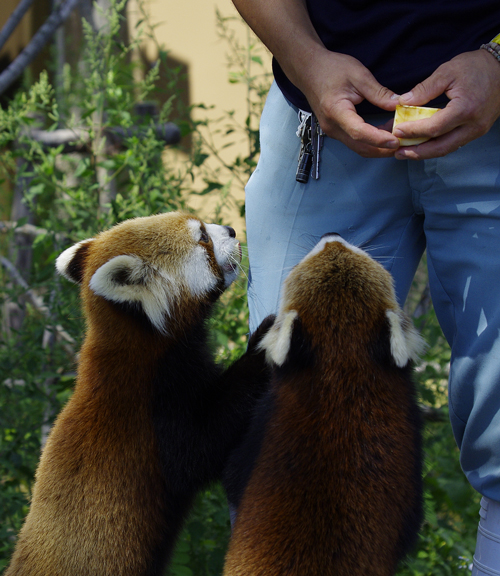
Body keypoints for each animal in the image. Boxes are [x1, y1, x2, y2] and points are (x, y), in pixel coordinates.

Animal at [5, 212, 272, 576]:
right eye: (203, 237)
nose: (232, 230)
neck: (140, 342)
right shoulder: (156, 414)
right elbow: (202, 446)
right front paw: (267, 344)